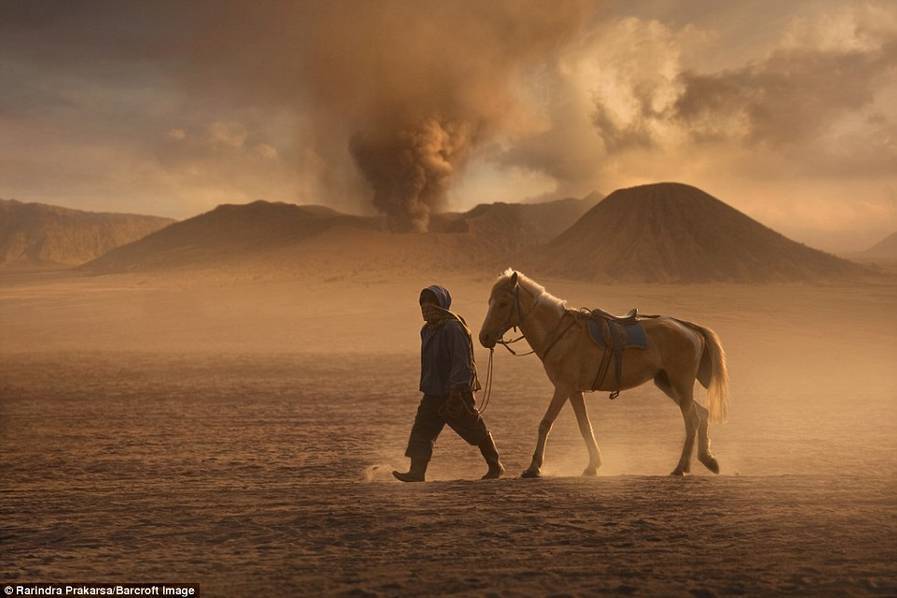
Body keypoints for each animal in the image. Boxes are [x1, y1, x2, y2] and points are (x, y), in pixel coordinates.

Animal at [476, 270, 728, 478]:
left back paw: (680, 467)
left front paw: (533, 467)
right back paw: (708, 460)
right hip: (665, 382)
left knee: (692, 419)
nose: (484, 337)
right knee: (702, 414)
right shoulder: (574, 391)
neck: (559, 333)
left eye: (503, 303)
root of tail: (690, 329)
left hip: (681, 383)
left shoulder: (563, 387)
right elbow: (585, 426)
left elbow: (545, 423)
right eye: (489, 302)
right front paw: (592, 466)